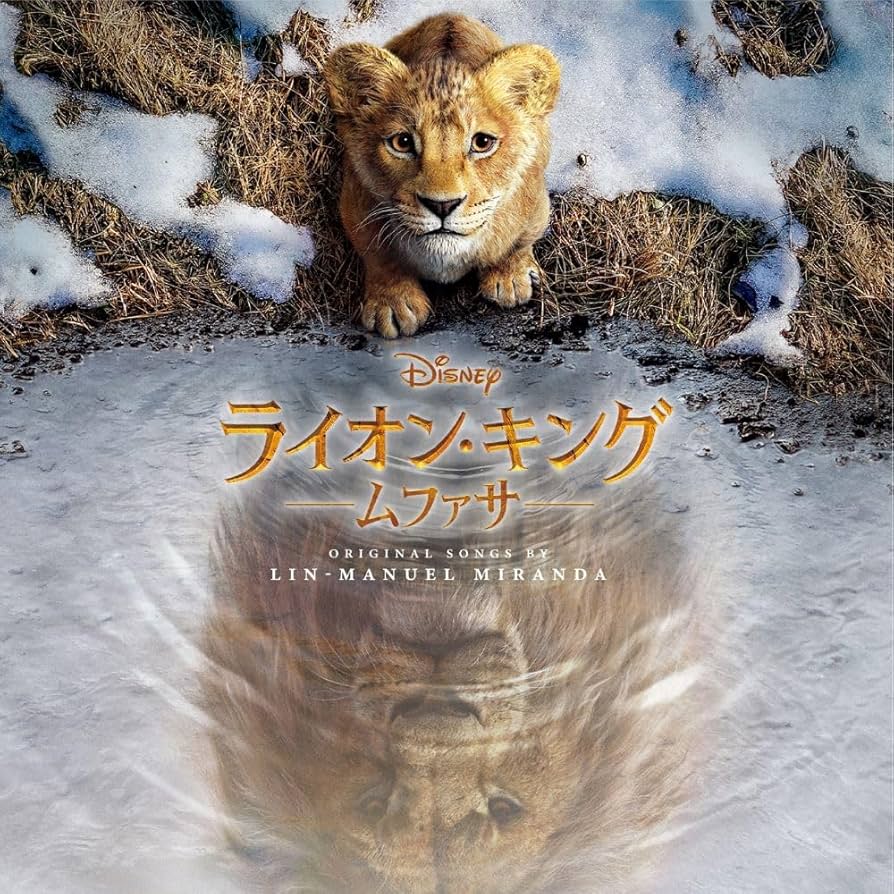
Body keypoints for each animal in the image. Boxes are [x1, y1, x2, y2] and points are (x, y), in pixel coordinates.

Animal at [323, 14, 561, 339]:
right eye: (402, 143)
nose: (442, 205)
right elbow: (379, 256)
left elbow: (518, 242)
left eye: (482, 143)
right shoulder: (355, 204)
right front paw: (392, 304)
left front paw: (510, 278)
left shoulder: (535, 203)